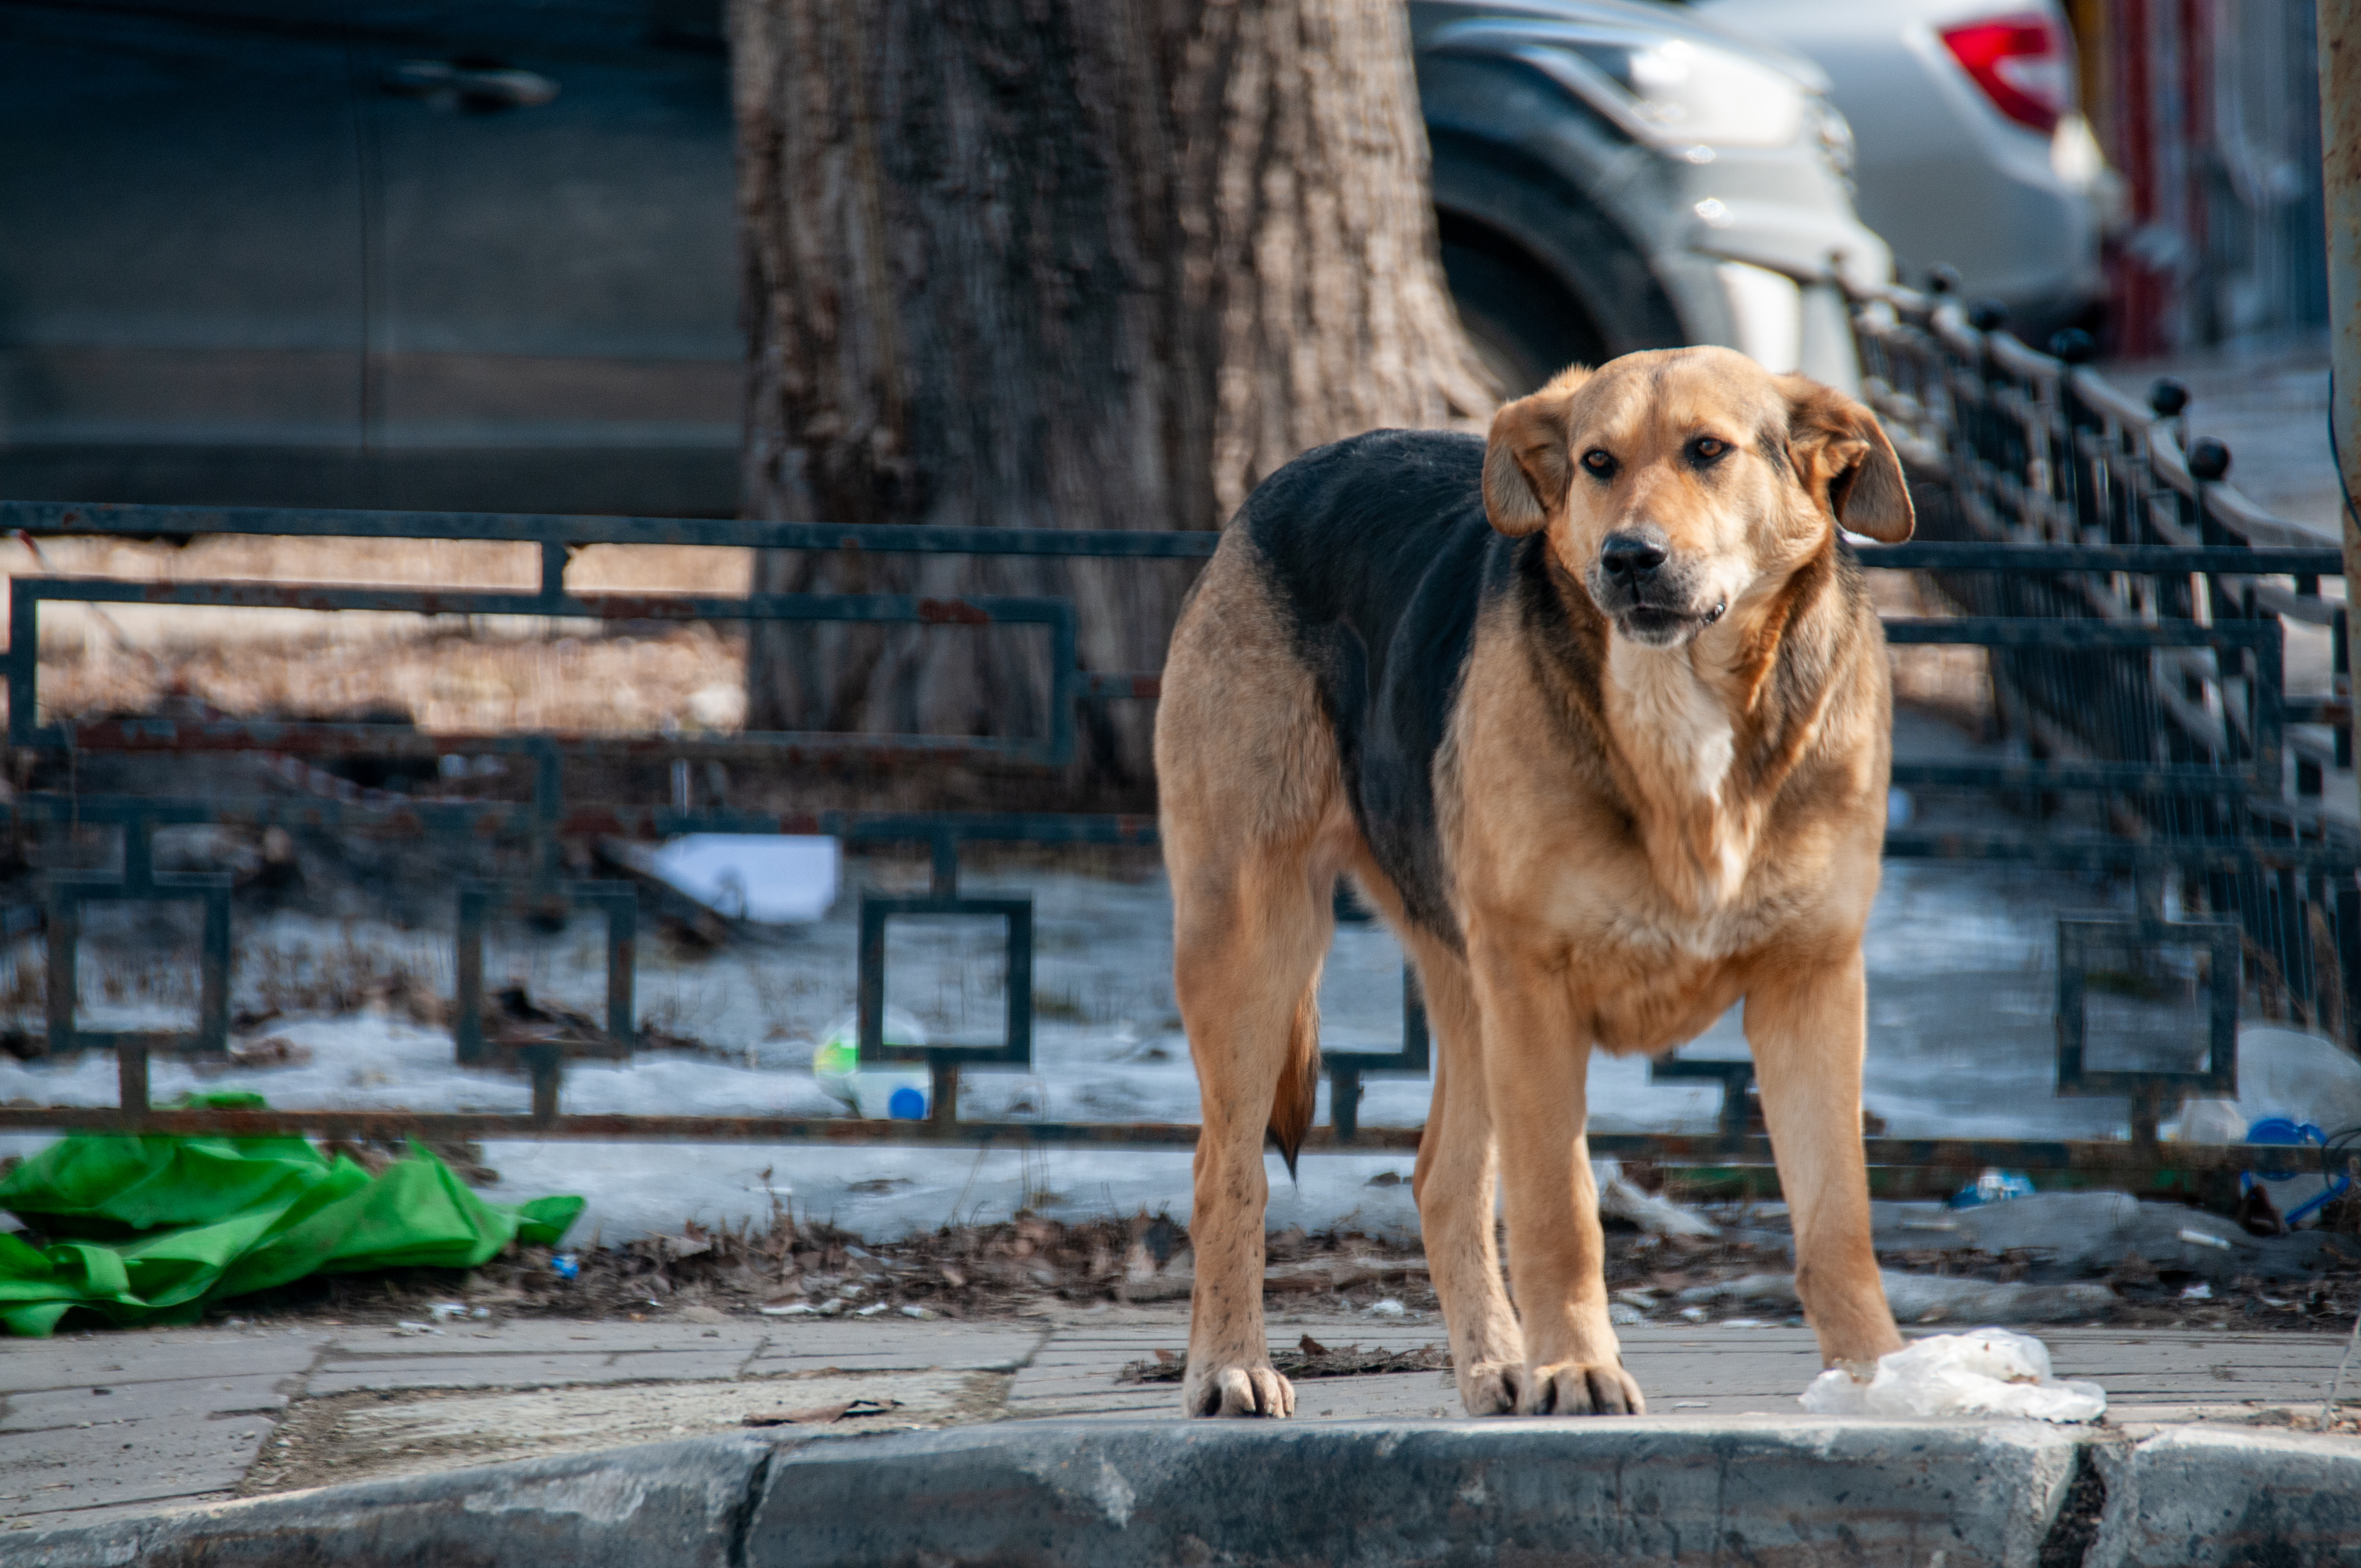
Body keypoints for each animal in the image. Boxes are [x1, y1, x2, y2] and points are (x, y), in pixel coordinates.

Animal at [1157, 347, 1917, 1417]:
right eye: (1597, 462)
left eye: (1709, 450)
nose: (1629, 558)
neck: (1678, 708)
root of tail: (1279, 482)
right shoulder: (1536, 989)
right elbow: (1562, 1212)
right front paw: (1578, 1369)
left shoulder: (1810, 982)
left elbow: (1836, 1218)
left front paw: (1880, 1376)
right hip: (1255, 942)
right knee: (1223, 1170)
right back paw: (1229, 1364)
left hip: (1461, 980)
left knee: (1441, 1177)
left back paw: (1494, 1370)